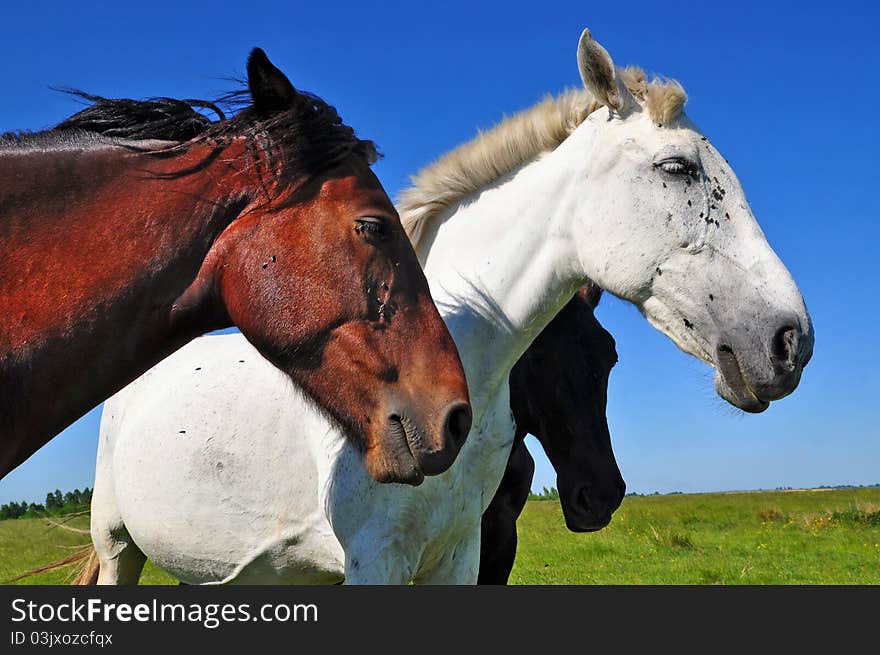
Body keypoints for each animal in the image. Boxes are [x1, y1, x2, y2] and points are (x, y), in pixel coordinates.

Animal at [81, 29, 812, 584]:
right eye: (677, 168)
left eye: (607, 357)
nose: (791, 341)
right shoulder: (376, 564)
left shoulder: (461, 556)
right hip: (121, 551)